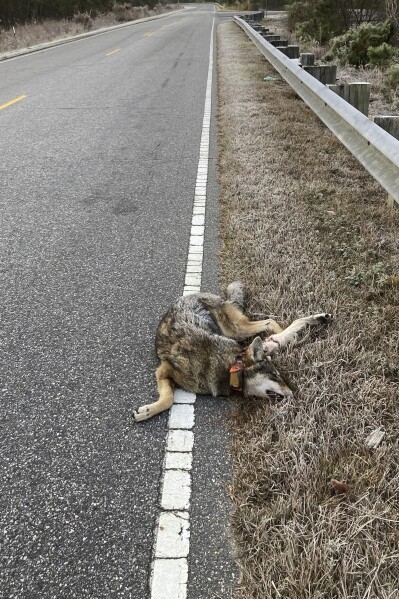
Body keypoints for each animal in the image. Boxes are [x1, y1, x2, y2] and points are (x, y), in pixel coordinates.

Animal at [133, 284, 332, 424]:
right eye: (275, 376)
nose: (294, 393)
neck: (230, 367)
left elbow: (169, 397)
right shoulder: (164, 369)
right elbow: (168, 398)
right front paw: (147, 412)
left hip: (236, 330)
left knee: (271, 322)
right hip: (236, 330)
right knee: (273, 326)